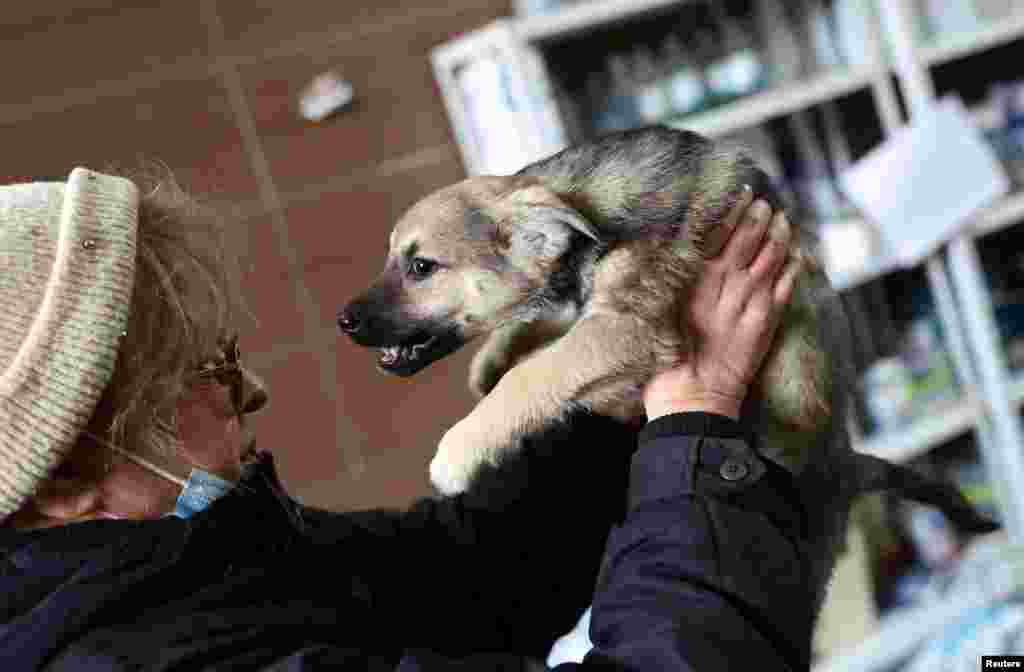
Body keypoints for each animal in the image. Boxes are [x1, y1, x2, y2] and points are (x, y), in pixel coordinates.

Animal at [339, 127, 995, 614]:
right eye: (393, 258)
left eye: (422, 267)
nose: (342, 321)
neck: (585, 213)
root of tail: (846, 464)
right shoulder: (592, 315)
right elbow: (540, 332)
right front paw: (492, 358)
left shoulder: (625, 327)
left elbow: (539, 372)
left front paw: (458, 449)